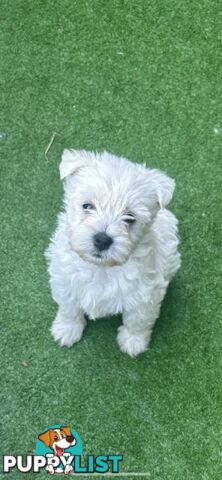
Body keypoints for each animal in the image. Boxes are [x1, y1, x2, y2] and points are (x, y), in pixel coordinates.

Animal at [46, 150, 181, 356]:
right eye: (87, 206)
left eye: (130, 217)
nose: (102, 240)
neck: (101, 268)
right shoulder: (65, 281)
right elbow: (69, 307)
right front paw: (67, 329)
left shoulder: (145, 295)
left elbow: (138, 320)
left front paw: (133, 342)